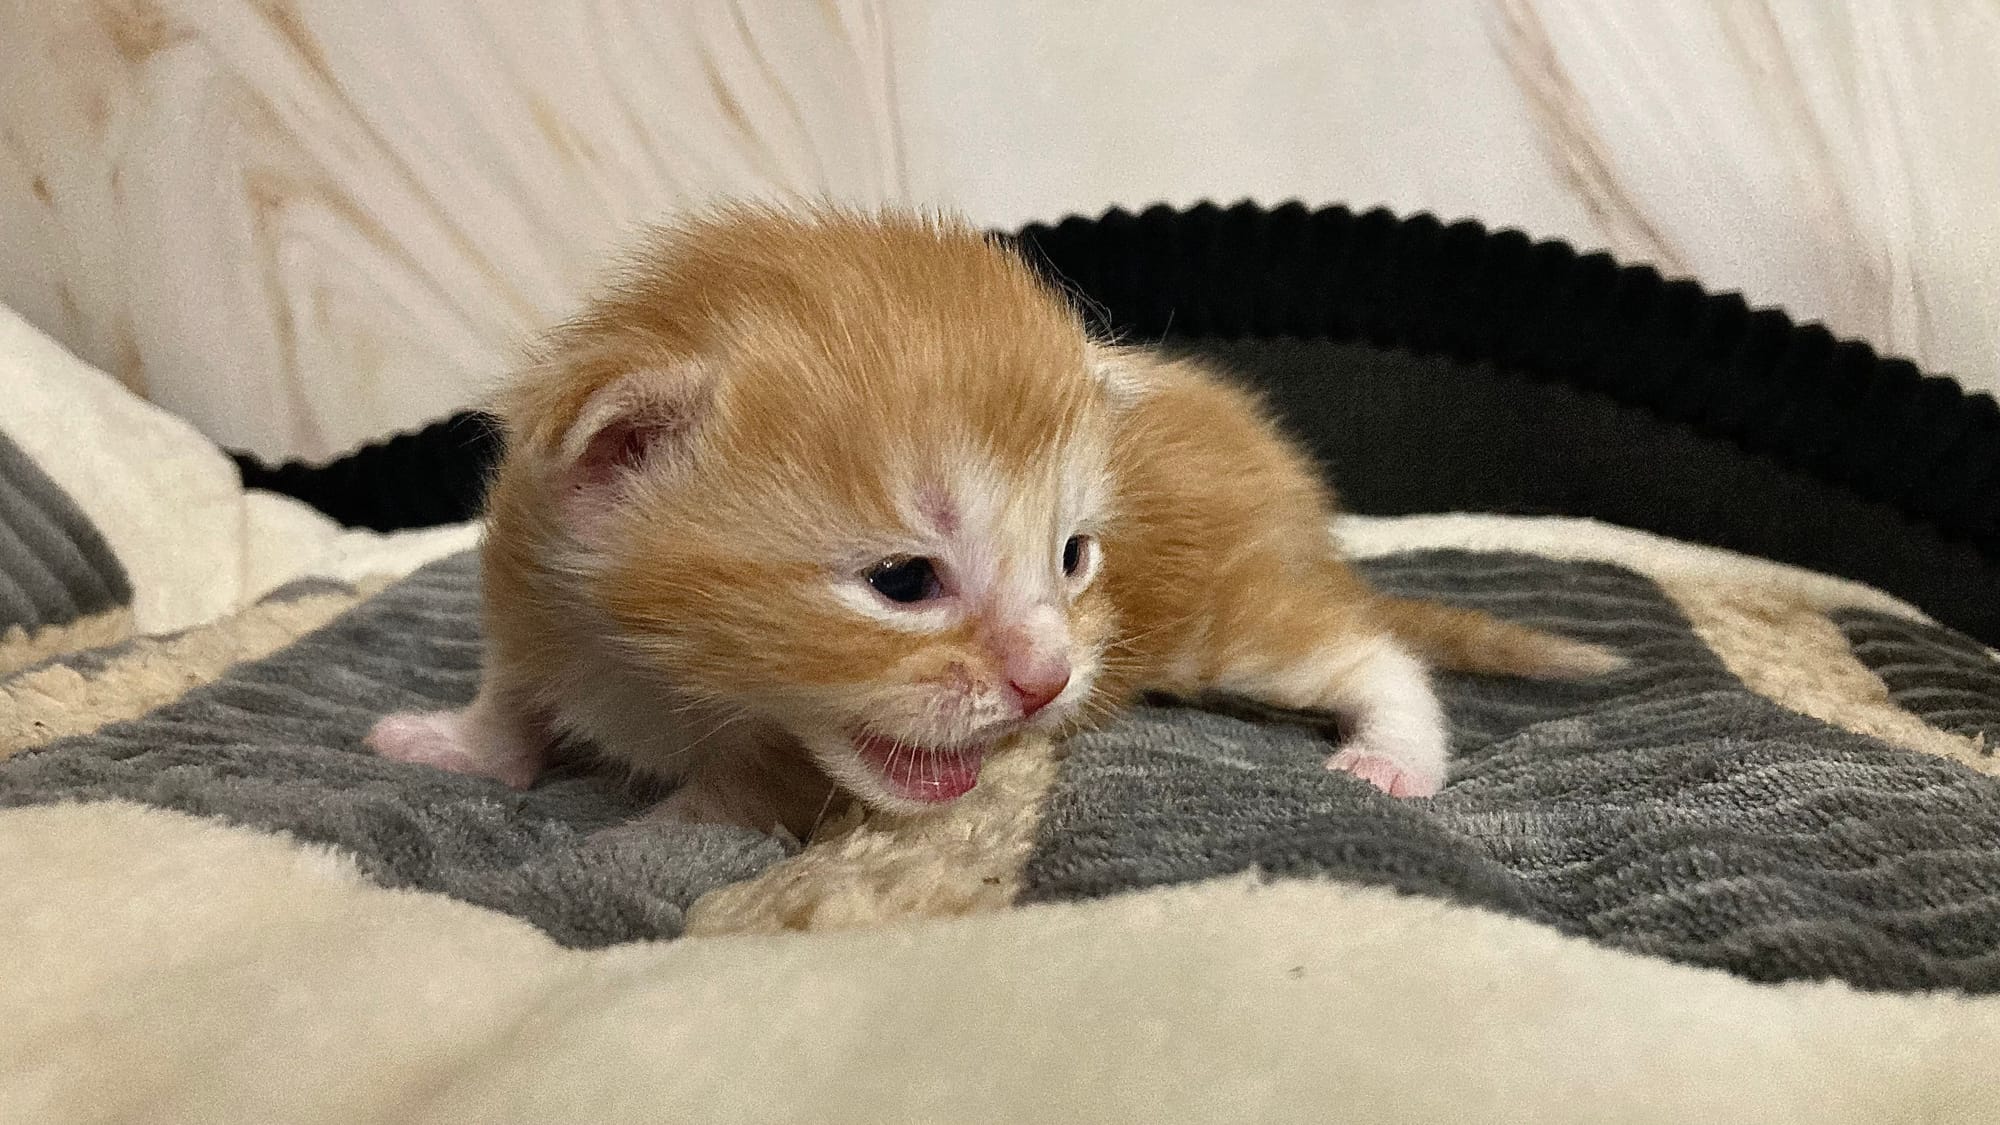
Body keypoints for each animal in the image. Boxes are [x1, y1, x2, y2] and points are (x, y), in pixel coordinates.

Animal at [366, 206, 1622, 837]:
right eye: (902, 583)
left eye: (1070, 559)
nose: (1046, 681)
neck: (657, 675)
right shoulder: (530, 586)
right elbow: (511, 691)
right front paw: (460, 743)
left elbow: (726, 804)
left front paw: (651, 835)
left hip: (1223, 616)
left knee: (1367, 649)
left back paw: (1394, 755)